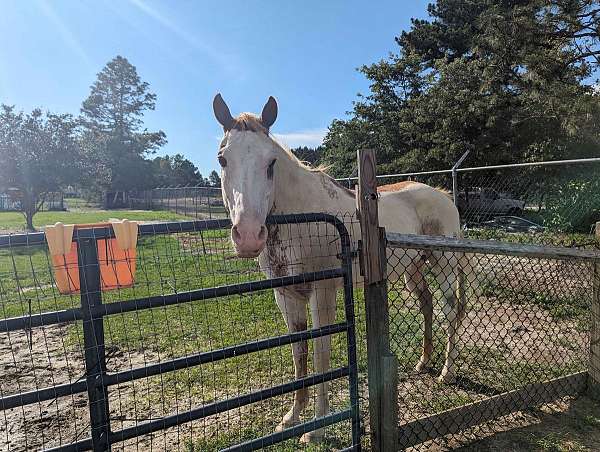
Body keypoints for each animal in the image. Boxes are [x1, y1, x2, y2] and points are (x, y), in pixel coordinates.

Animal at [213, 93, 466, 444]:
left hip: (443, 265)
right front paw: (292, 417)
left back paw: (446, 372)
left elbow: (320, 354)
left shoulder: (323, 293)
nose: (248, 235)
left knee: (449, 311)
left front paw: (316, 429)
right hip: (412, 270)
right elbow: (299, 354)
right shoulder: (285, 295)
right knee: (427, 305)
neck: (300, 219)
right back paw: (423, 363)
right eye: (223, 159)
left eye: (271, 162)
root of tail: (443, 196)